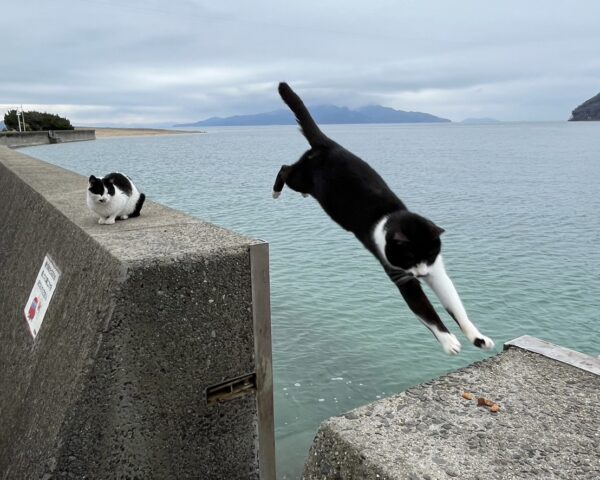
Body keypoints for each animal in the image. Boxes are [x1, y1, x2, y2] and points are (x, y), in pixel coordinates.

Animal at [272, 81, 492, 356]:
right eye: (409, 257)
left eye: (430, 255)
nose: (421, 273)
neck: (392, 216)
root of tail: (329, 143)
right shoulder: (401, 276)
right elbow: (426, 311)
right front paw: (448, 341)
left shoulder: (436, 271)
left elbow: (455, 304)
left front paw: (478, 337)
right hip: (301, 177)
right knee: (285, 169)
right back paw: (276, 190)